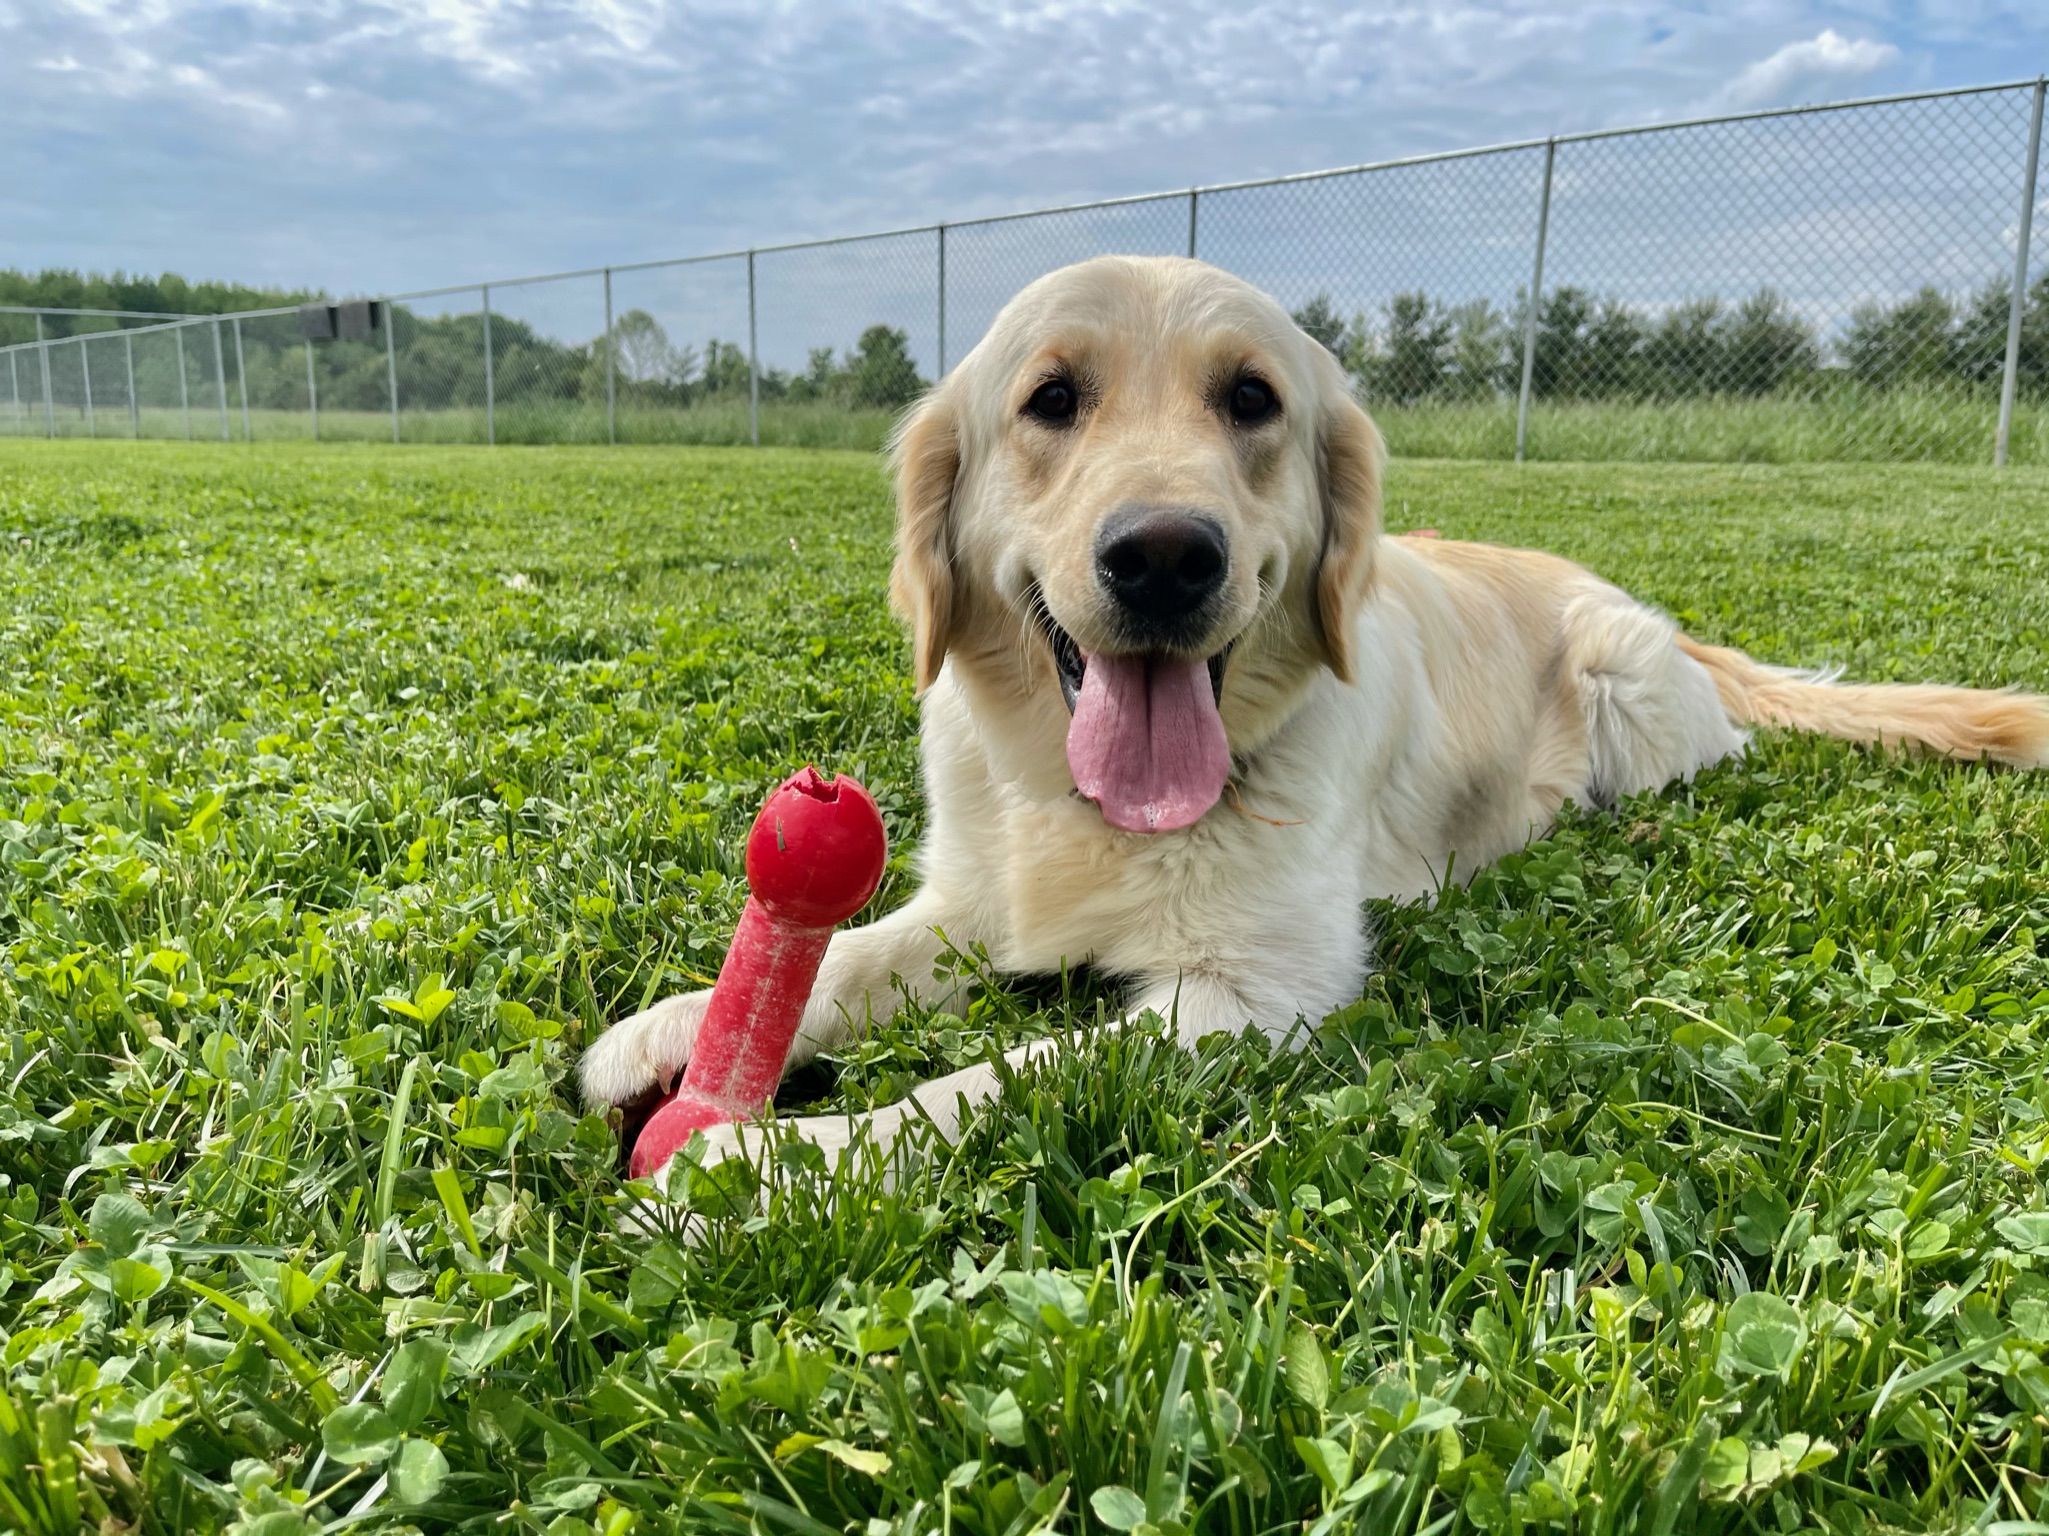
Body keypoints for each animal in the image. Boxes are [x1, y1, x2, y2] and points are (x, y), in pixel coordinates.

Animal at [577, 259, 2049, 1179]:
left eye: (1252, 400)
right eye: (1051, 400)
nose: (1165, 556)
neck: (1095, 808)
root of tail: (1656, 616)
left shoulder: (1254, 991)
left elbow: (996, 1079)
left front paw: (767, 1166)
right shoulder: (974, 903)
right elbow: (840, 956)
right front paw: (667, 1032)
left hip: (1622, 682)